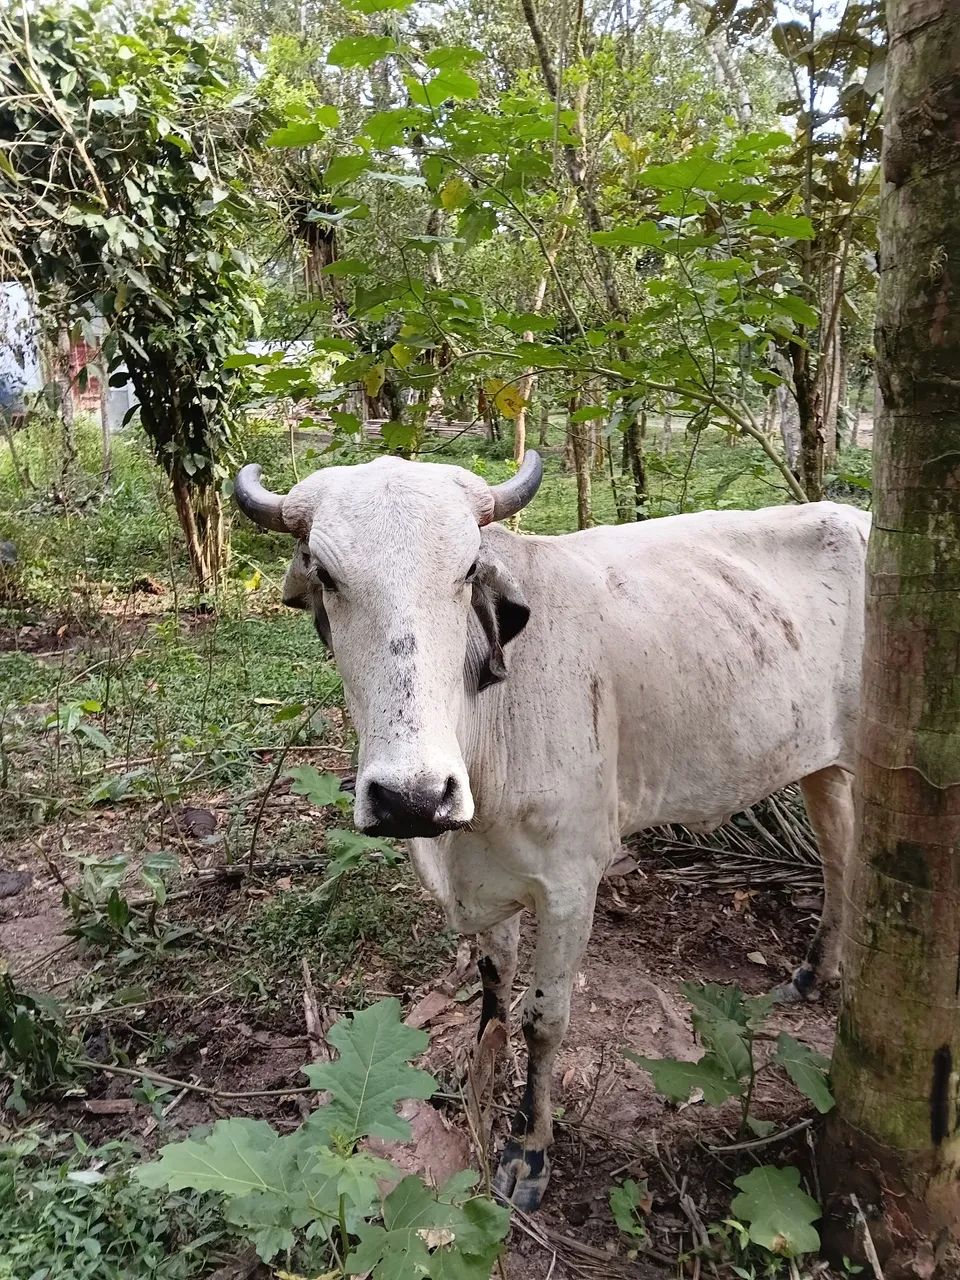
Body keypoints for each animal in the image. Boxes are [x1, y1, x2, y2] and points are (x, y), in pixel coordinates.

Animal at [234, 452, 869, 1210]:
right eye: (326, 574)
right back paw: (814, 972)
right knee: (839, 857)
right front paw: (480, 1076)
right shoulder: (487, 878)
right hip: (822, 767)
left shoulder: (570, 884)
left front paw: (530, 1147)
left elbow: (545, 1019)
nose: (412, 797)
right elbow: (493, 985)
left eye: (466, 570)